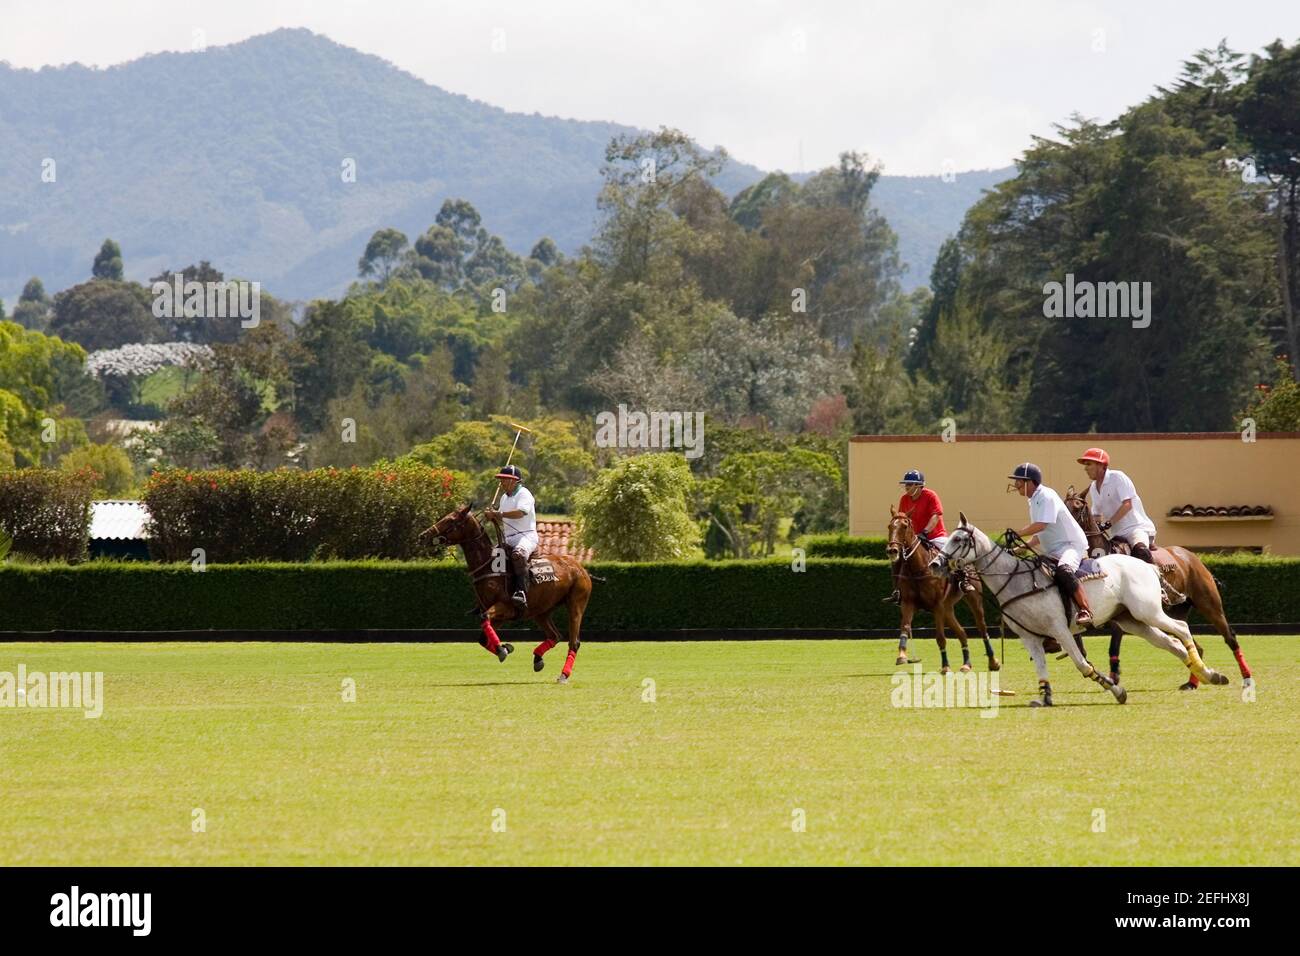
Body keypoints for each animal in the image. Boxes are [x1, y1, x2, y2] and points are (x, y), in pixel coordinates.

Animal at [426, 504, 595, 686]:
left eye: (450, 520)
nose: (424, 535)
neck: (489, 566)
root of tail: (582, 569)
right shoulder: (498, 614)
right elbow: (482, 638)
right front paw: (506, 647)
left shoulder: (505, 607)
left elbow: (485, 619)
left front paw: (502, 649)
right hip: (542, 611)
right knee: (555, 635)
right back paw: (538, 659)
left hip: (576, 604)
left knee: (574, 642)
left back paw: (564, 674)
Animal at [889, 509, 998, 671]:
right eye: (889, 526)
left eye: (904, 526)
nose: (892, 550)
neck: (917, 570)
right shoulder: (908, 603)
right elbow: (905, 627)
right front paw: (902, 655)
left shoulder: (937, 606)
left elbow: (940, 637)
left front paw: (945, 666)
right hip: (948, 608)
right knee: (962, 633)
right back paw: (966, 664)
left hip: (973, 599)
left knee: (982, 627)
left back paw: (993, 662)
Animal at [930, 515, 1222, 702]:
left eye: (958, 539)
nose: (935, 564)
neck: (1015, 580)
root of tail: (1148, 565)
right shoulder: (1029, 636)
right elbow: (1041, 669)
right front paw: (1044, 697)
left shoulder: (1059, 629)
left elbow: (1082, 664)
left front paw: (1116, 690)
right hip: (1132, 620)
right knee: (1171, 643)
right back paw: (1209, 675)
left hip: (1147, 611)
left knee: (1181, 629)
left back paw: (1206, 672)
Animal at [1060, 489, 1253, 691]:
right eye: (1063, 503)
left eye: (1077, 506)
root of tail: (1193, 558)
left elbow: (1113, 643)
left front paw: (1113, 677)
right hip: (1175, 610)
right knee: (1193, 642)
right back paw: (1193, 682)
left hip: (1208, 603)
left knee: (1230, 637)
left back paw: (1246, 678)